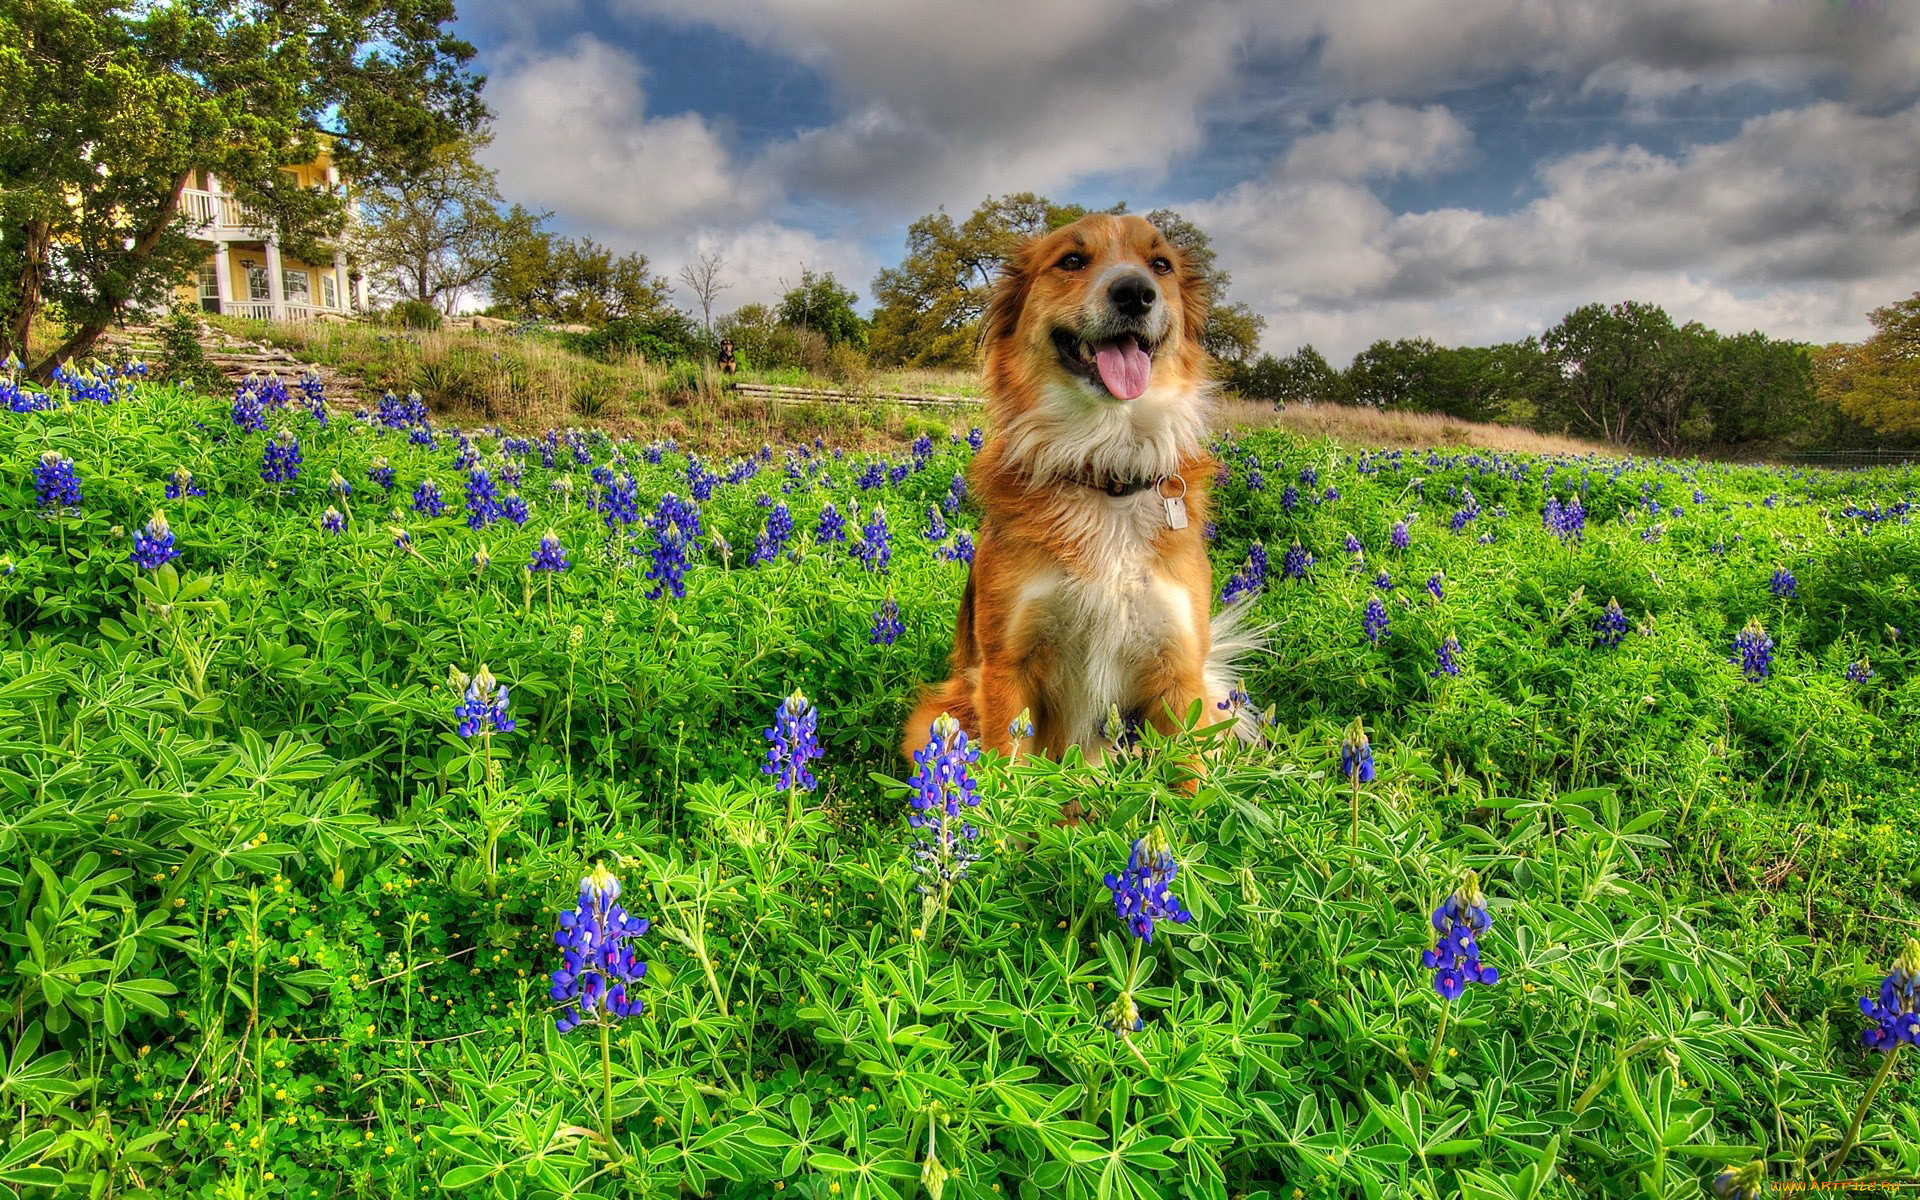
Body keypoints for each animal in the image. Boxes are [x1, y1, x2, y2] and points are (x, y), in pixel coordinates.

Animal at [902, 210, 1259, 764]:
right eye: (1071, 260)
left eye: (1161, 265)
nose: (1136, 292)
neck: (1105, 468)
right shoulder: (1007, 666)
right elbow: (1009, 774)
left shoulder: (1178, 668)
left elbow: (1191, 778)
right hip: (936, 719)